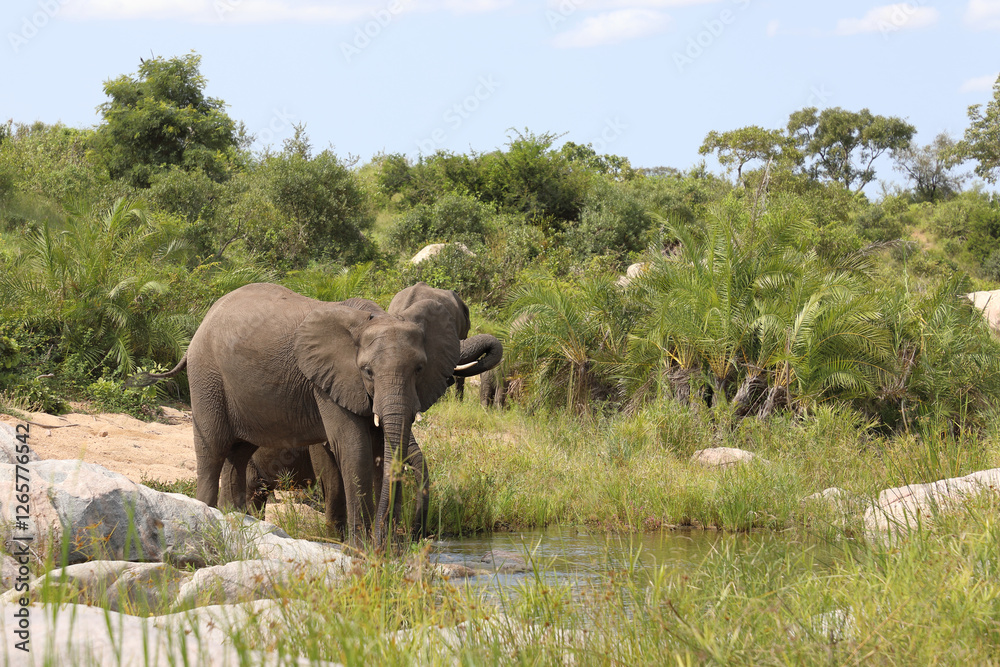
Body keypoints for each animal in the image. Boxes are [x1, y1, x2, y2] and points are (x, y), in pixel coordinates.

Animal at [141, 282, 503, 548]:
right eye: (367, 371)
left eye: (419, 368)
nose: (410, 537)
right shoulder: (328, 384)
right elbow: (353, 450)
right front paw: (359, 546)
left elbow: (378, 451)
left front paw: (378, 547)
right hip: (207, 377)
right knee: (212, 450)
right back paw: (206, 515)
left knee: (239, 453)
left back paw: (235, 520)